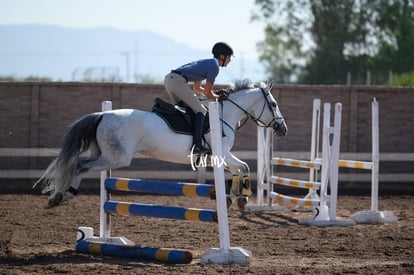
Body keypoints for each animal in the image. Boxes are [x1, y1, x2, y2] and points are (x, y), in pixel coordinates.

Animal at [34, 81, 288, 208]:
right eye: (274, 104)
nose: (282, 129)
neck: (224, 114)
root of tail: (102, 115)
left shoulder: (218, 156)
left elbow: (240, 169)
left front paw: (236, 197)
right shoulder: (222, 153)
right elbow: (244, 167)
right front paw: (242, 198)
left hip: (105, 154)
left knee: (77, 162)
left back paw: (60, 195)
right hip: (116, 157)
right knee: (79, 165)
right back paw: (62, 195)